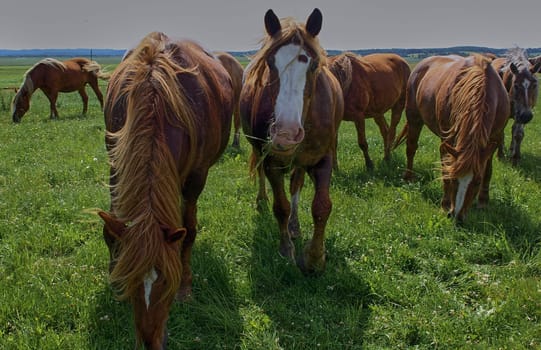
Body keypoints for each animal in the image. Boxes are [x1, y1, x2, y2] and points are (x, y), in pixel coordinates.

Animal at [97, 31, 232, 348]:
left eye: (168, 283)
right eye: (131, 280)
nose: (151, 342)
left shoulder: (196, 177)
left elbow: (189, 230)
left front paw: (186, 285)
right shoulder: (116, 163)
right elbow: (111, 229)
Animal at [239, 8, 342, 274]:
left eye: (314, 65)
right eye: (269, 63)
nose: (285, 133)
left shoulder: (322, 158)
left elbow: (321, 206)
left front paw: (315, 257)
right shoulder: (271, 161)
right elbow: (281, 206)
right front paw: (286, 251)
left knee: (296, 183)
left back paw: (295, 225)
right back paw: (262, 200)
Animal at [394, 56, 508, 223]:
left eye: (477, 182)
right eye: (454, 178)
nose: (457, 217)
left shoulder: (492, 140)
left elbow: (487, 170)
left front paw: (483, 201)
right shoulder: (447, 142)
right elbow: (445, 171)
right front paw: (445, 205)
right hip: (414, 118)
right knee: (411, 148)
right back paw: (408, 177)